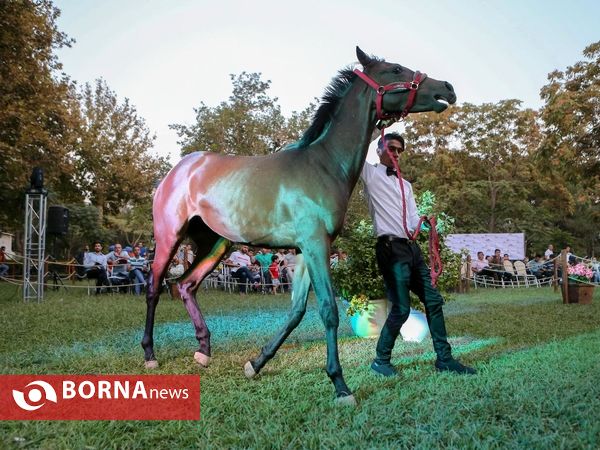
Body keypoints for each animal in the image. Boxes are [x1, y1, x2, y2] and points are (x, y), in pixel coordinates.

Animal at [144, 47, 454, 406]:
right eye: (395, 69)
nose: (446, 89)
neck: (322, 164)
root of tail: (178, 170)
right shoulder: (317, 246)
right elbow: (328, 310)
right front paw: (340, 385)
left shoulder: (306, 251)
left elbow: (295, 312)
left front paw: (255, 363)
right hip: (169, 237)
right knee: (155, 287)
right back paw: (150, 355)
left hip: (216, 244)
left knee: (185, 285)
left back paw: (204, 351)